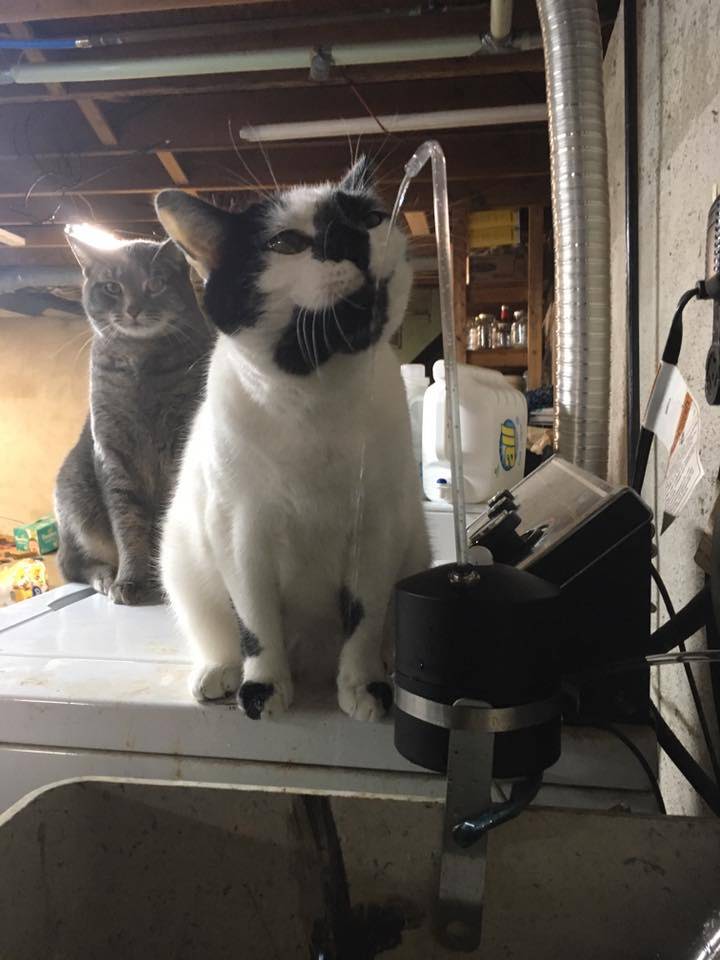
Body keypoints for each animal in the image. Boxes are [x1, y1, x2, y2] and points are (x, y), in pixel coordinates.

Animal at [54, 233, 212, 604]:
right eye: (112, 286)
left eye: (155, 283)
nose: (133, 309)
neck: (141, 360)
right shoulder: (113, 453)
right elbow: (127, 522)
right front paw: (132, 578)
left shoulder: (180, 442)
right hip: (75, 494)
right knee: (70, 565)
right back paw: (104, 577)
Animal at [156, 159, 428, 720]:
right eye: (285, 243)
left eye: (371, 218)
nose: (349, 236)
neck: (317, 397)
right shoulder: (240, 533)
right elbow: (257, 624)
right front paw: (263, 688)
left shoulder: (378, 528)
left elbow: (365, 619)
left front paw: (363, 686)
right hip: (182, 564)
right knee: (217, 633)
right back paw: (218, 673)